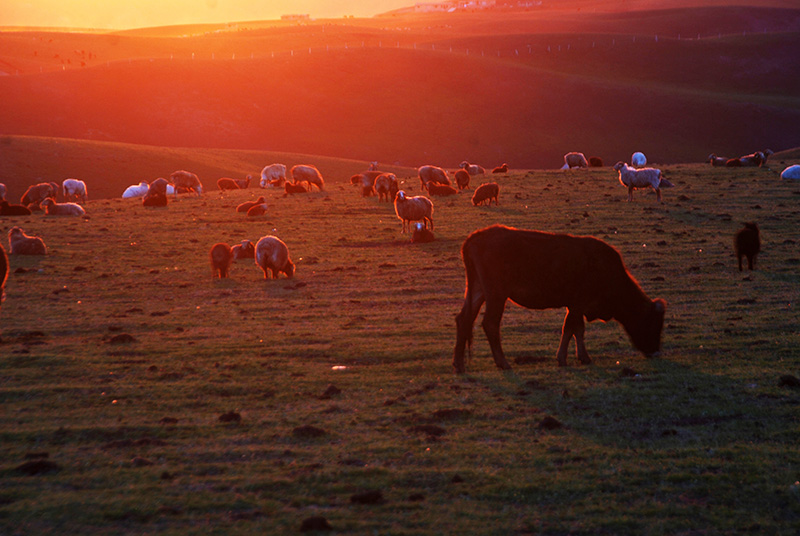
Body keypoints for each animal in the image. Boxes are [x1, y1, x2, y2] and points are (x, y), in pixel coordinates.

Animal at [454, 224, 664, 370]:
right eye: (653, 324)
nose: (655, 352)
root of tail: (476, 237)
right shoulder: (578, 304)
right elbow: (571, 328)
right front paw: (564, 358)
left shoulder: (574, 306)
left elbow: (576, 329)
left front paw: (582, 357)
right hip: (496, 295)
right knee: (490, 323)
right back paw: (503, 362)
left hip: (478, 290)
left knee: (463, 319)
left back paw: (459, 364)